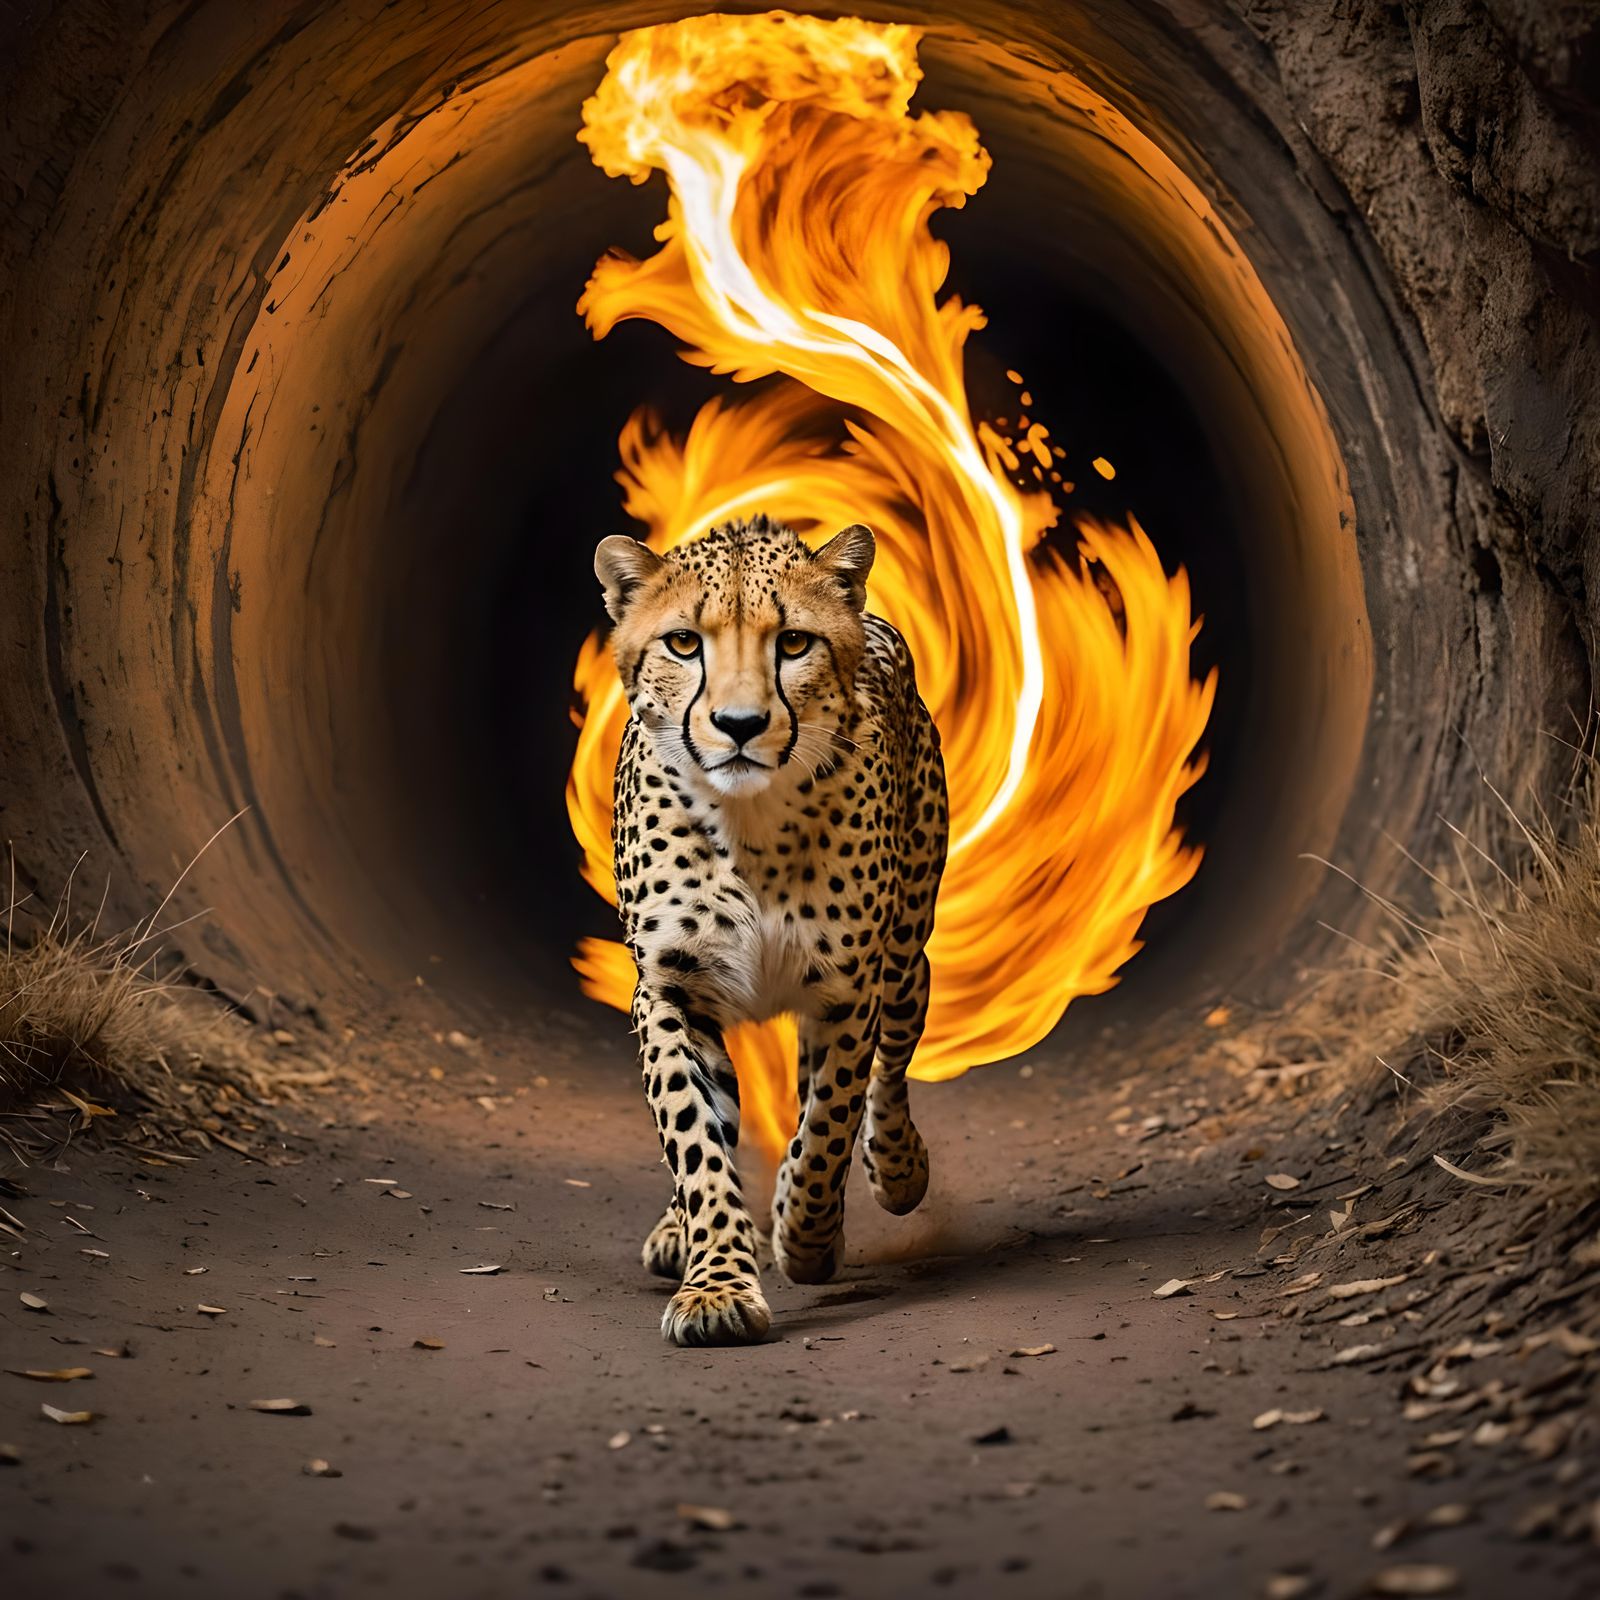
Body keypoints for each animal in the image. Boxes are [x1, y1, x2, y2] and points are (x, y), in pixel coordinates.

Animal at [593, 513, 949, 1346]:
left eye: (792, 643)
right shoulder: (670, 991)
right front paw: (717, 1285)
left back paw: (897, 1169)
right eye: (683, 643)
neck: (750, 822)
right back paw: (678, 1231)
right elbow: (695, 1139)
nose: (740, 725)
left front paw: (806, 1235)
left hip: (905, 958)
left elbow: (828, 1122)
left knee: (888, 1073)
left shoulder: (849, 991)